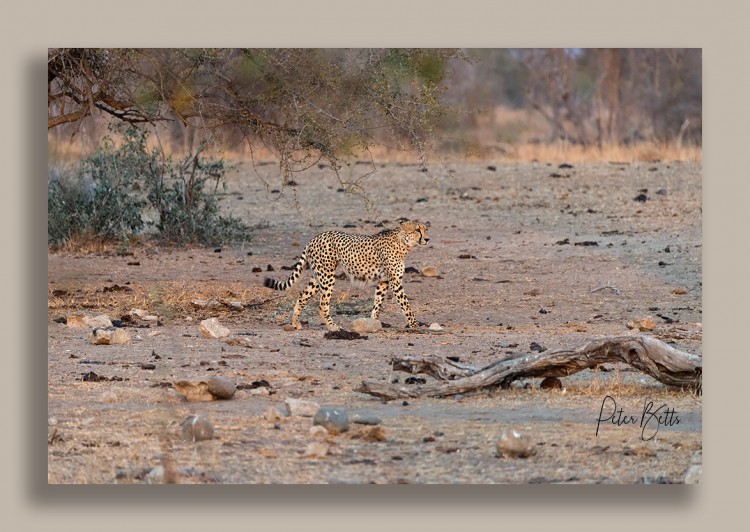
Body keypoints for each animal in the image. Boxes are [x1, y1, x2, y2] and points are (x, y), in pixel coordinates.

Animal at [262, 219, 428, 328]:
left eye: (426, 229)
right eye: (417, 230)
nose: (427, 239)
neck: (403, 243)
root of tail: (316, 237)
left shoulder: (383, 281)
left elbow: (377, 304)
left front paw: (373, 322)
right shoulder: (395, 282)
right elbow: (405, 304)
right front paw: (415, 324)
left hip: (318, 277)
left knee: (302, 296)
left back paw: (296, 324)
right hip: (327, 276)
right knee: (322, 305)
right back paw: (333, 327)